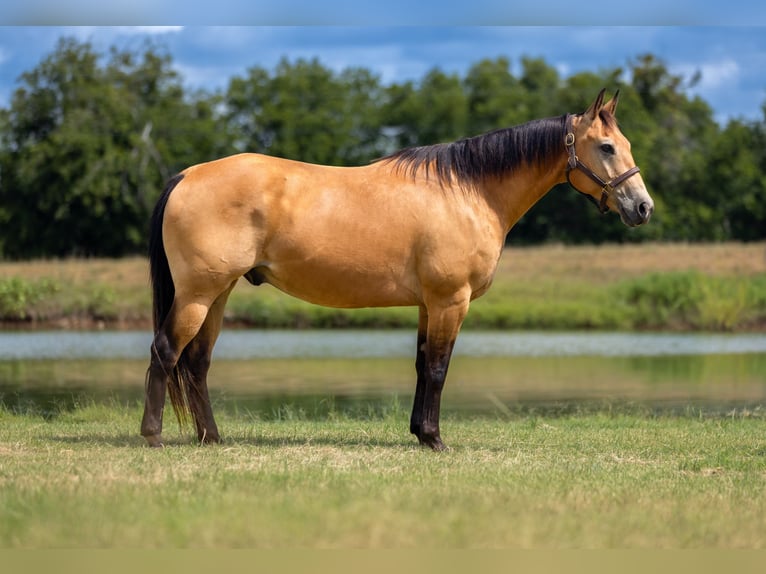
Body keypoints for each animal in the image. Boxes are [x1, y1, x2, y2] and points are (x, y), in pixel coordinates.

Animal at [141, 89, 653, 450]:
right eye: (607, 147)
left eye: (625, 144)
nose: (643, 207)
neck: (468, 191)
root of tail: (187, 175)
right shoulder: (450, 300)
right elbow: (440, 367)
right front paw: (435, 438)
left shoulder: (430, 304)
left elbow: (423, 364)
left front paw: (419, 433)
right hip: (198, 293)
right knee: (166, 351)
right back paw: (154, 435)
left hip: (219, 292)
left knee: (197, 361)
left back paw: (211, 437)